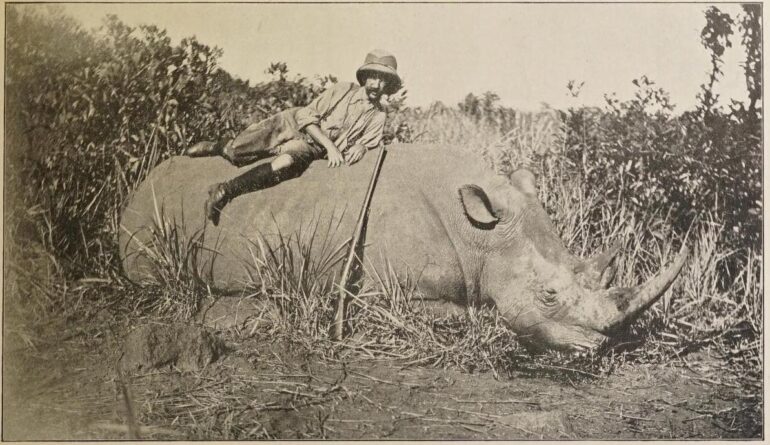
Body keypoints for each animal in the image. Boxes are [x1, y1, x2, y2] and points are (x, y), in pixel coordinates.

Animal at [120, 144, 688, 351]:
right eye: (548, 295)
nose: (603, 347)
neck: (482, 235)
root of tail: (138, 184)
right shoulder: (389, 295)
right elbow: (468, 313)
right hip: (146, 218)